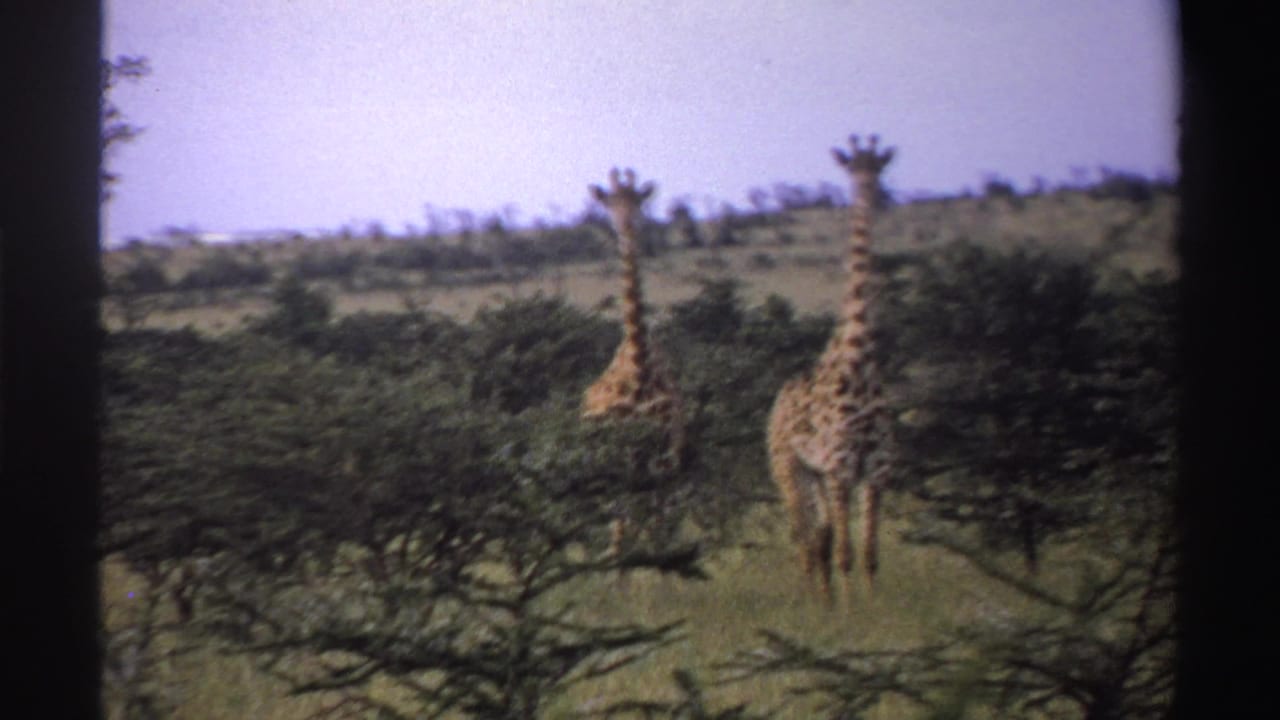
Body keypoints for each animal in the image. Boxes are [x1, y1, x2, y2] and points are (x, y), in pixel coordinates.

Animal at [582, 168, 687, 556]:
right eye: (609, 204)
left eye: (639, 202)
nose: (626, 231)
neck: (640, 367)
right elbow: (626, 518)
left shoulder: (667, 453)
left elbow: (659, 522)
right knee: (617, 514)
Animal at [767, 134, 896, 604]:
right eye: (852, 167)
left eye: (879, 166)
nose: (871, 191)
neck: (859, 362)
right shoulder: (840, 467)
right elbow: (845, 551)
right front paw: (851, 611)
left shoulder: (877, 470)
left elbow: (869, 551)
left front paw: (873, 605)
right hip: (790, 470)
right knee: (805, 537)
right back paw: (811, 599)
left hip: (817, 476)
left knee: (818, 535)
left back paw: (823, 598)